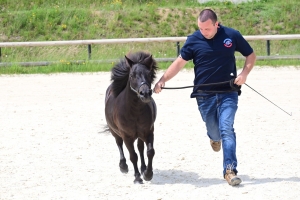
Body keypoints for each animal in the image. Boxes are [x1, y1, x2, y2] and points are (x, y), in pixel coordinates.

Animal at [104, 51, 158, 184]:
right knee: (119, 144)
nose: (145, 94)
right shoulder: (127, 136)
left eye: (149, 74)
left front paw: (147, 174)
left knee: (140, 148)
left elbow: (150, 152)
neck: (135, 112)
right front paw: (138, 177)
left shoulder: (148, 132)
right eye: (132, 75)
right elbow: (133, 156)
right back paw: (123, 166)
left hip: (140, 135)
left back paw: (143, 168)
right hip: (115, 132)